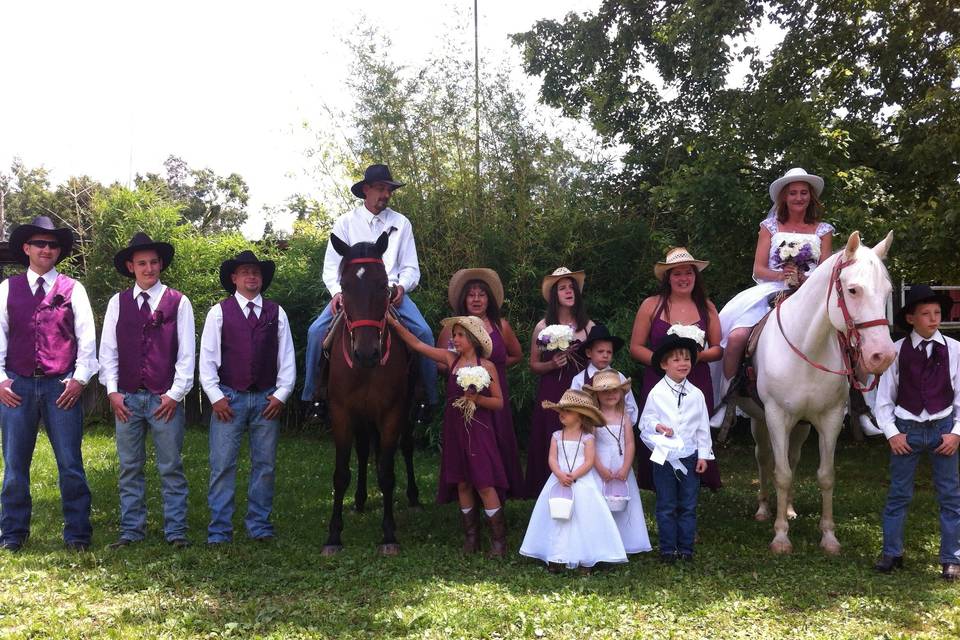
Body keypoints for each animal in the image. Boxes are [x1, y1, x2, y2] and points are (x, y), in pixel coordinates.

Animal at [322, 231, 420, 556]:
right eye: (344, 286)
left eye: (383, 285)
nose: (366, 353)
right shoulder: (341, 413)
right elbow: (341, 473)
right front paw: (333, 536)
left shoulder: (392, 413)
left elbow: (387, 473)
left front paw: (389, 534)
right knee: (364, 451)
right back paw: (361, 499)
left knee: (406, 447)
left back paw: (413, 496)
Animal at [748, 231, 896, 556]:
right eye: (853, 290)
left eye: (888, 292)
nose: (883, 356)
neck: (807, 346)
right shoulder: (776, 415)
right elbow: (781, 474)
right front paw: (780, 537)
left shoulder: (830, 418)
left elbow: (825, 476)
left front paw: (828, 536)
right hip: (759, 419)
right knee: (764, 458)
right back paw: (764, 509)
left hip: (801, 425)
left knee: (791, 458)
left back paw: (789, 509)